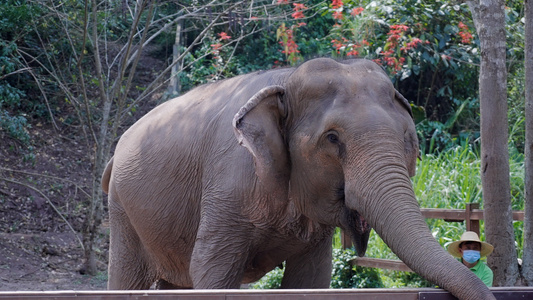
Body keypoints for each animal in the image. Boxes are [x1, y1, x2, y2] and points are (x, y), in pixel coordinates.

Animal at [103, 57, 494, 298]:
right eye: (332, 139)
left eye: (408, 139)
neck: (287, 78)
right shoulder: (227, 183)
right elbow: (212, 269)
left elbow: (310, 278)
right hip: (122, 209)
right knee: (130, 277)